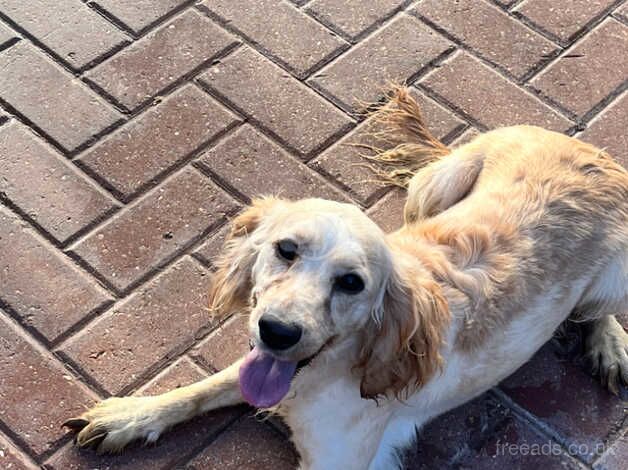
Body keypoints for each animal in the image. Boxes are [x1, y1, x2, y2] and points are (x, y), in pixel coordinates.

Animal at [65, 86, 628, 468]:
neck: (323, 374)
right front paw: (131, 416)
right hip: (433, 185)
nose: (278, 332)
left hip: (613, 274)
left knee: (599, 310)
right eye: (286, 250)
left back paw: (610, 344)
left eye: (352, 283)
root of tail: (592, 151)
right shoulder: (258, 368)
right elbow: (200, 388)